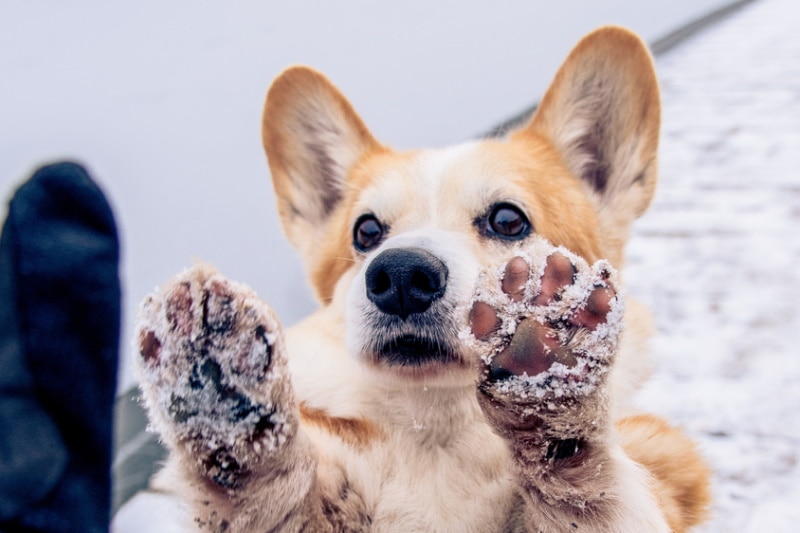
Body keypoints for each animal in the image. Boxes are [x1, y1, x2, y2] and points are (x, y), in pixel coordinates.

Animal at [133, 27, 712, 528]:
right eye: (366, 231)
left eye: (508, 220)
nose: (401, 275)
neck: (437, 431)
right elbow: (275, 498)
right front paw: (222, 389)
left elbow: (587, 489)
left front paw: (547, 374)